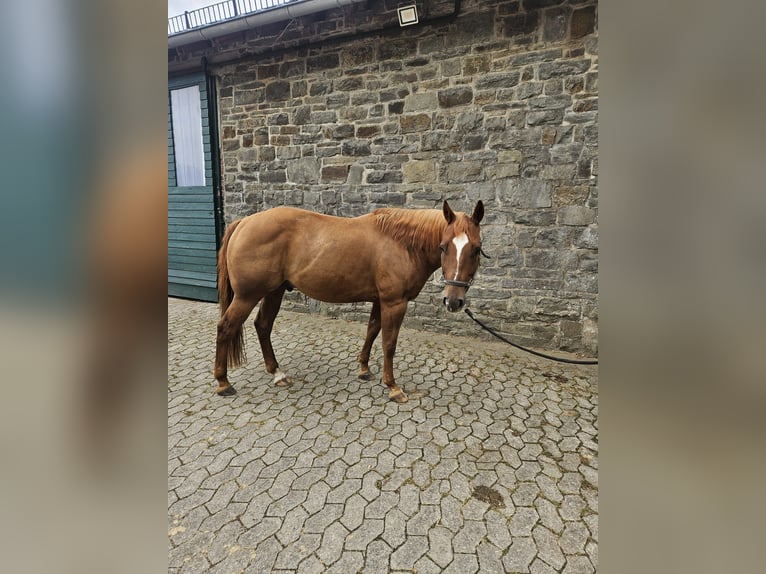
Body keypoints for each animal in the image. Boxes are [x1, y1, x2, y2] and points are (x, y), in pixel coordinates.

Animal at [214, 200, 485, 403]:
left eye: (476, 249)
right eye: (443, 247)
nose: (453, 301)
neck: (401, 243)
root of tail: (244, 222)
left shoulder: (380, 300)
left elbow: (372, 331)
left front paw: (364, 369)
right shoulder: (394, 302)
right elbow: (389, 343)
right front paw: (393, 386)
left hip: (274, 291)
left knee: (263, 325)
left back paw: (277, 373)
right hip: (248, 296)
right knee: (226, 327)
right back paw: (223, 382)